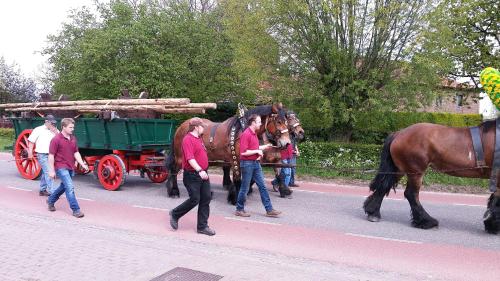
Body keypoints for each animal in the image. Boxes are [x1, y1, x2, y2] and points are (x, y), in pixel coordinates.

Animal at [362, 120, 500, 232]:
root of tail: (399, 133)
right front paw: (492, 225)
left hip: (399, 169)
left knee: (384, 186)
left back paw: (373, 213)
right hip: (415, 172)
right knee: (411, 194)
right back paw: (426, 221)